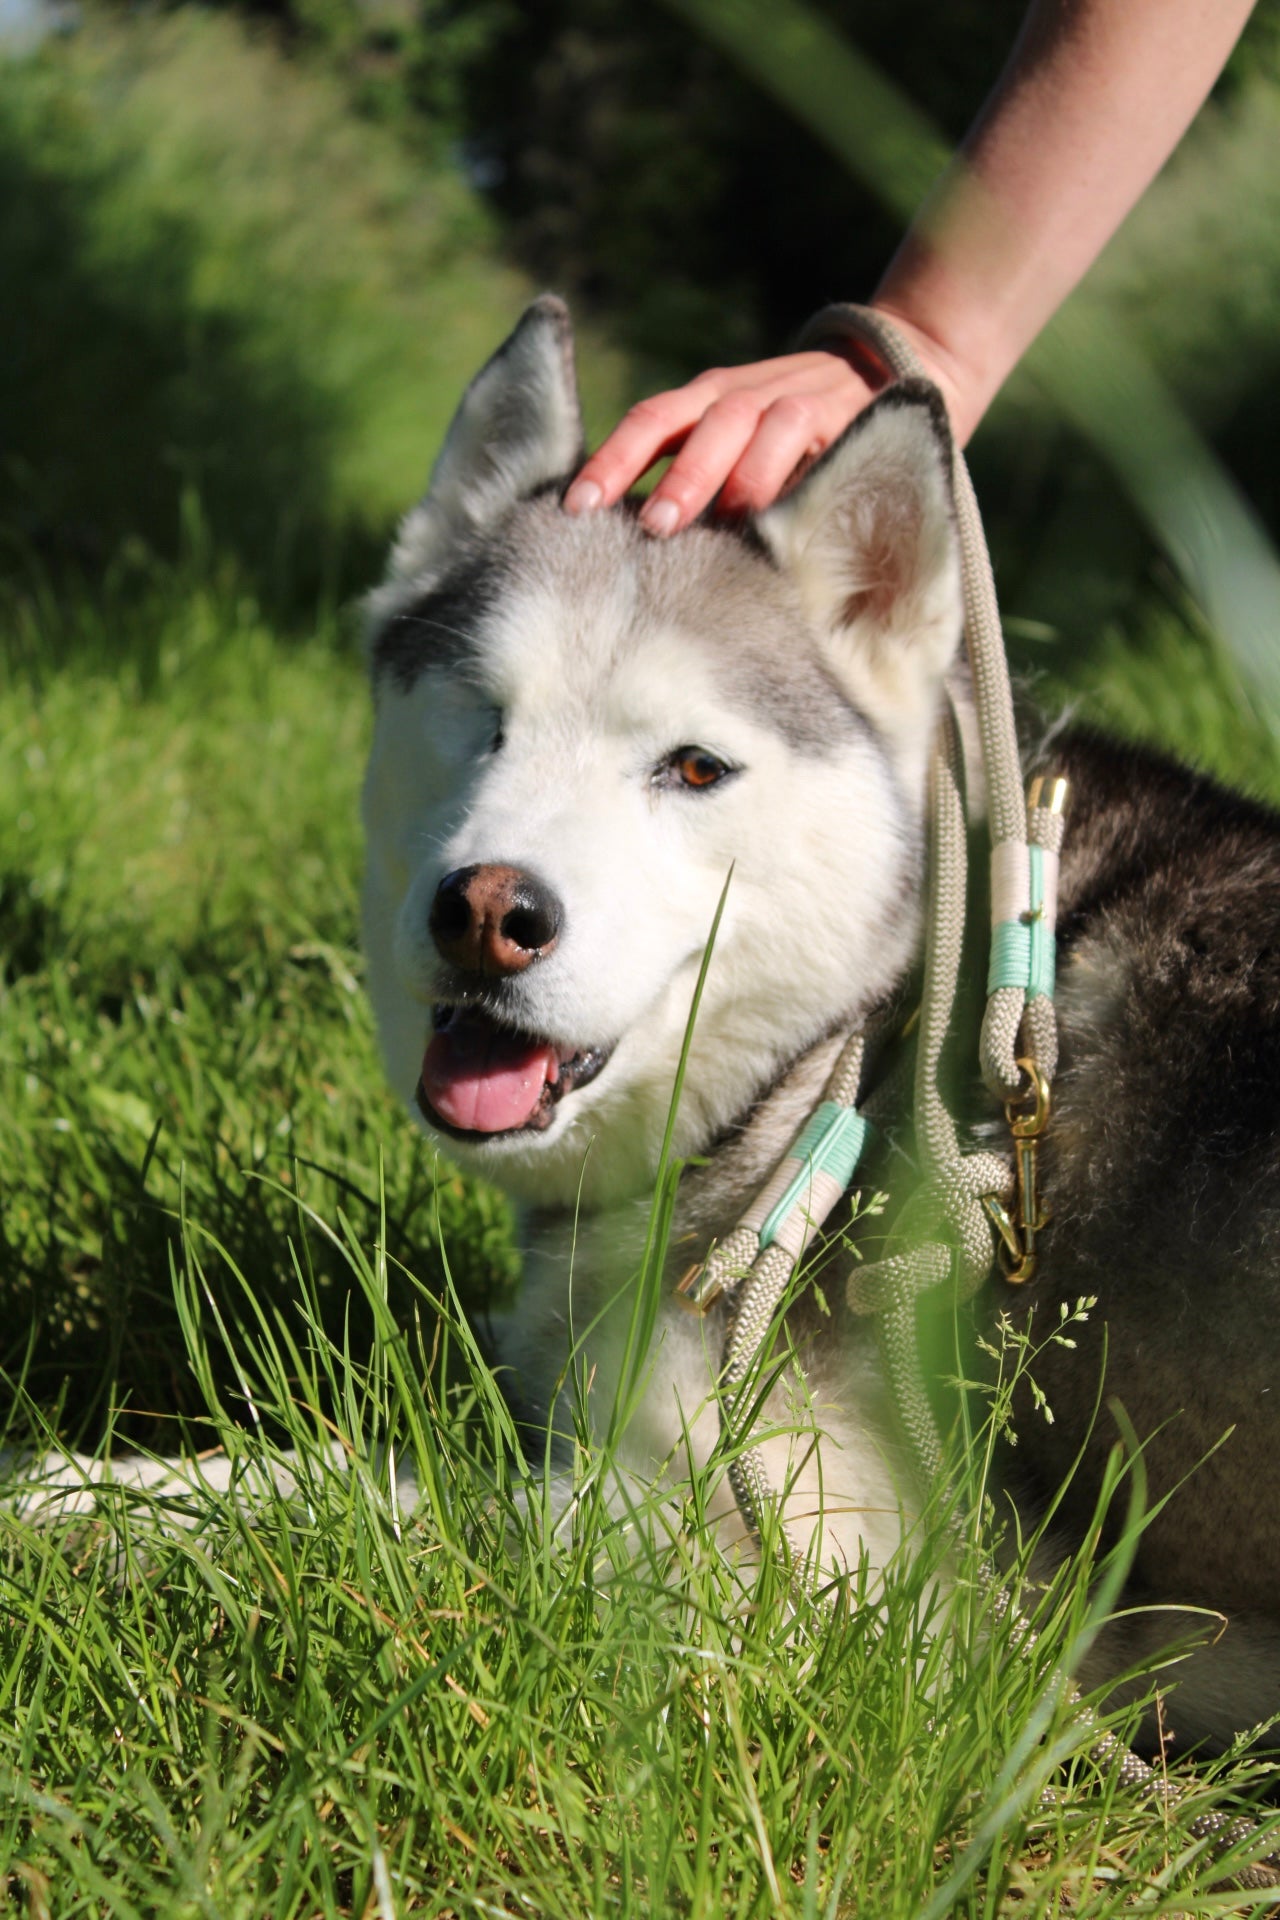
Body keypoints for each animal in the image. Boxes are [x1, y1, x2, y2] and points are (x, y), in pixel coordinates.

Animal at [362, 291, 1280, 1751]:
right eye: (482, 721)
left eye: (694, 768)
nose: (489, 913)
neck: (844, 1053)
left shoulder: (819, 1577)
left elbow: (338, 1496)